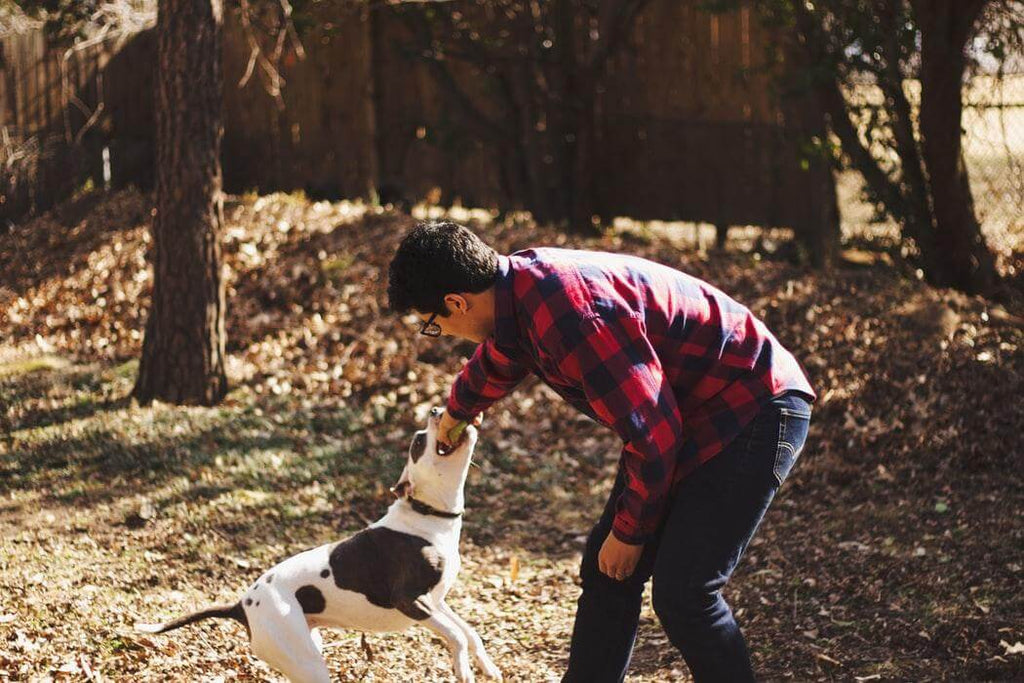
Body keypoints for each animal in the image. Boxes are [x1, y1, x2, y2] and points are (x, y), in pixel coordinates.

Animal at [136, 409, 503, 679]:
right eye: (419, 441)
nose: (437, 409)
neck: (425, 514)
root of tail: (241, 604)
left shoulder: (437, 601)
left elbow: (470, 633)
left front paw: (488, 667)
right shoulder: (411, 600)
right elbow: (457, 636)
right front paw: (463, 670)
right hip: (308, 662)